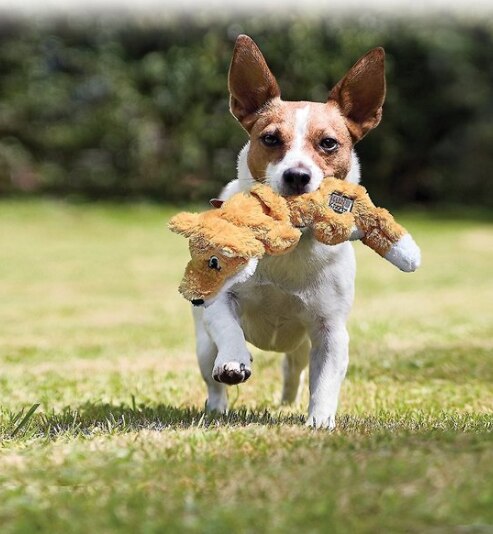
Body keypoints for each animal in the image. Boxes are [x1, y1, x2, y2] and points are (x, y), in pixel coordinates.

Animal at [190, 34, 386, 432]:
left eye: (328, 143)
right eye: (270, 139)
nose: (297, 176)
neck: (291, 239)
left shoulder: (330, 331)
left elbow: (325, 380)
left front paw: (320, 421)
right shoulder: (221, 303)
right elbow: (228, 328)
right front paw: (234, 362)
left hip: (301, 346)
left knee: (294, 369)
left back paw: (288, 400)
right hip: (203, 345)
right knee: (212, 376)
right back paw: (217, 405)